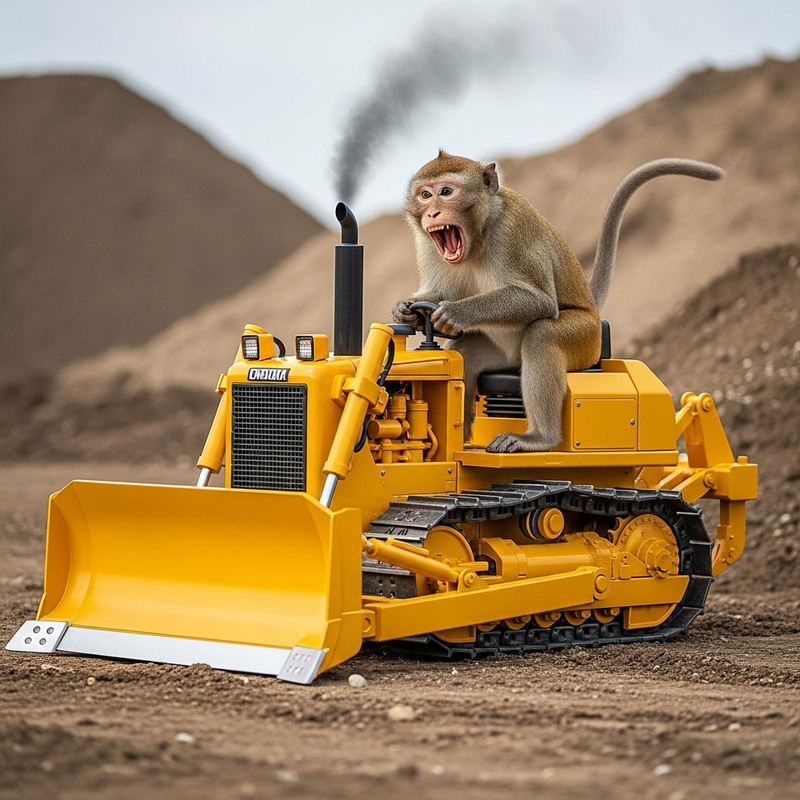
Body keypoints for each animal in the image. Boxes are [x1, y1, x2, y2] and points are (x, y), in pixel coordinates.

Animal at [392, 151, 724, 453]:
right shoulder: (426, 243)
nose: (432, 214)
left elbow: (539, 301)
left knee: (543, 334)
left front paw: (455, 312)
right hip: (507, 355)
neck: (478, 235)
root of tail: (595, 313)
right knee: (467, 353)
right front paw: (407, 311)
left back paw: (540, 438)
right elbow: (435, 292)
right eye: (425, 195)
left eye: (446, 192)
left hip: (585, 340)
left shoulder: (512, 232)